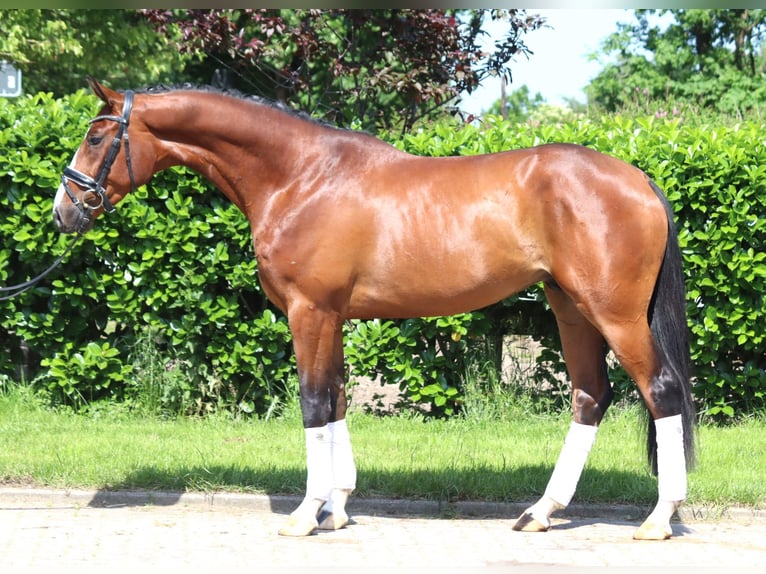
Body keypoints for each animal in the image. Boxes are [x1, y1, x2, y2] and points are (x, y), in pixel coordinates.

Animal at [53, 78, 695, 540]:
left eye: (96, 137)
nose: (63, 211)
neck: (301, 177)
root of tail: (639, 179)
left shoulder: (309, 312)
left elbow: (313, 402)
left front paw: (304, 513)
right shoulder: (331, 317)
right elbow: (337, 398)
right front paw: (336, 509)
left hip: (612, 314)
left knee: (660, 390)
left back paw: (658, 519)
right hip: (571, 311)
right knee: (591, 396)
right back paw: (539, 512)